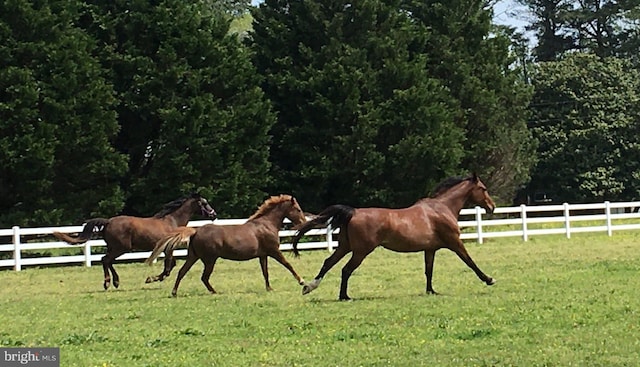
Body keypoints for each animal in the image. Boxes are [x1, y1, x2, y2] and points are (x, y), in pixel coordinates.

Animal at [53, 194, 218, 292]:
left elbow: (171, 266)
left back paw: (115, 282)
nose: (214, 214)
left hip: (115, 248)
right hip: (121, 248)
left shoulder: (166, 249)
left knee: (106, 260)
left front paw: (154, 278)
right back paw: (108, 283)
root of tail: (108, 222)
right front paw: (151, 279)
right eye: (204, 203)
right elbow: (168, 268)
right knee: (105, 260)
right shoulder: (168, 249)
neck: (172, 222)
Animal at [146, 196, 306, 296]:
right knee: (203, 277)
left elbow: (265, 272)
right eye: (298, 209)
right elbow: (288, 265)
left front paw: (269, 288)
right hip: (210, 260)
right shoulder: (274, 251)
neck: (267, 224)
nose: (303, 222)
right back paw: (214, 292)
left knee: (181, 272)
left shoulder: (263, 255)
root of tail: (196, 230)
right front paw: (301, 281)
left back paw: (174, 292)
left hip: (193, 257)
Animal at [292, 174, 498, 300]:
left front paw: (430, 291)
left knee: (328, 262)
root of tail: (354, 211)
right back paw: (344, 296)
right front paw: (488, 279)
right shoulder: (454, 242)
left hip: (345, 246)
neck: (441, 208)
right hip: (360, 251)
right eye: (484, 188)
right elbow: (470, 262)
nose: (492, 207)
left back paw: (309, 287)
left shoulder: (430, 249)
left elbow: (428, 270)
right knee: (346, 269)